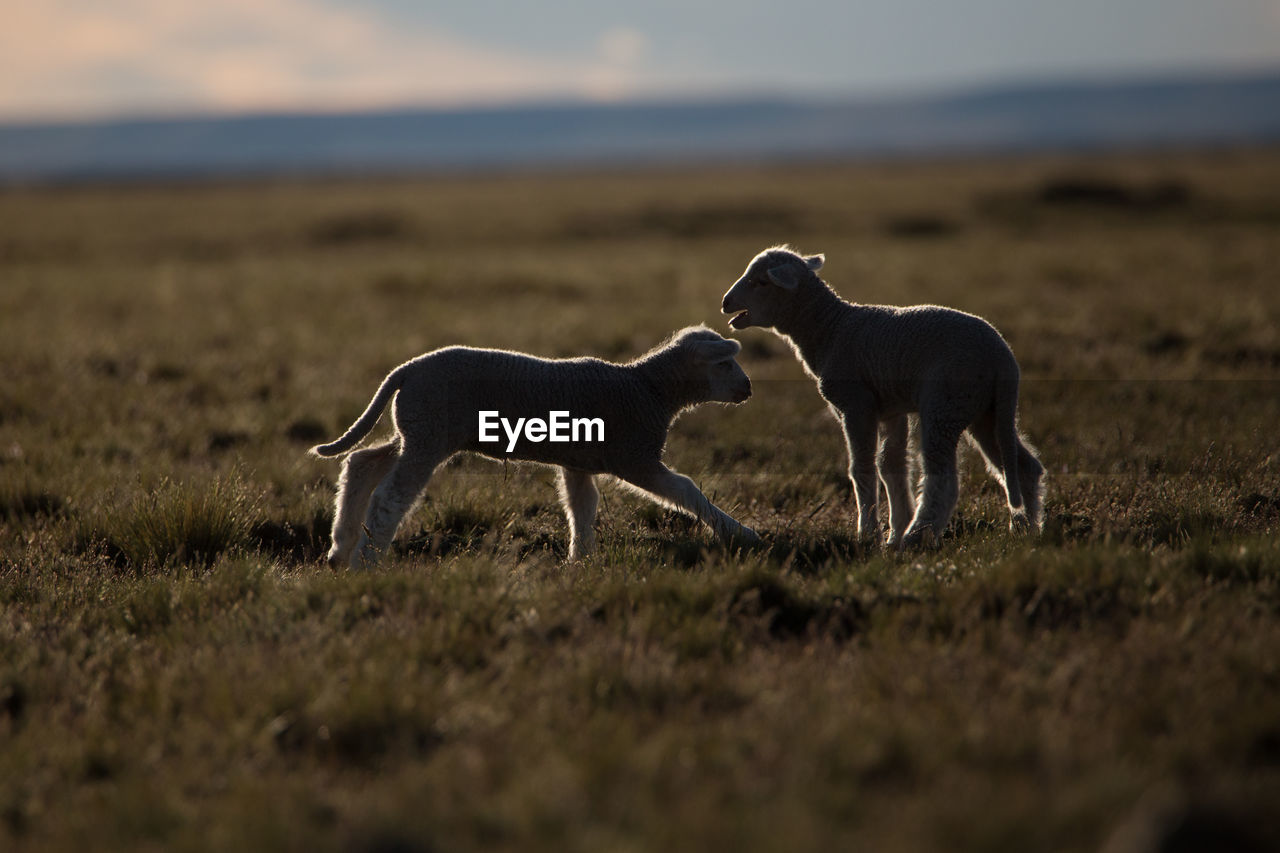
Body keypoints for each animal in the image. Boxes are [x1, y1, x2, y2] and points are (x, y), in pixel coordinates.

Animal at [309, 325, 757, 563]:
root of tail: (406, 369)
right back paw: (365, 562)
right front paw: (741, 533)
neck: (650, 389)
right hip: (428, 435)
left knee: (362, 462)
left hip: (417, 430)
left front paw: (581, 560)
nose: (748, 388)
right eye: (724, 363)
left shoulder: (578, 461)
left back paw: (340, 549)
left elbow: (582, 507)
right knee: (389, 496)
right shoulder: (634, 456)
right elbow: (685, 489)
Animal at [721, 242, 1039, 545]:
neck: (829, 329)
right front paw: (893, 533)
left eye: (761, 282)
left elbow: (862, 467)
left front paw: (868, 534)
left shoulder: (855, 404)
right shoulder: (890, 409)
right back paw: (1028, 529)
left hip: (946, 403)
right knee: (1023, 465)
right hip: (985, 410)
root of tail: (1002, 358)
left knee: (944, 481)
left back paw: (917, 536)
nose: (725, 303)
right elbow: (891, 466)